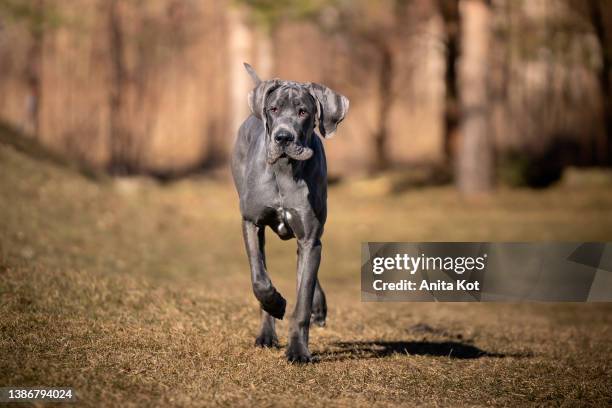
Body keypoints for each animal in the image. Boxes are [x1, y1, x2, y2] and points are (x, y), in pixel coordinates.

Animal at [231, 62, 350, 362]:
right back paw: (266, 334)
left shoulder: (309, 237)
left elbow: (303, 298)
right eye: (273, 109)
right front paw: (275, 304)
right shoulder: (251, 223)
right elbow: (260, 280)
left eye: (303, 111)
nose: (283, 137)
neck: (285, 170)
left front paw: (298, 350)